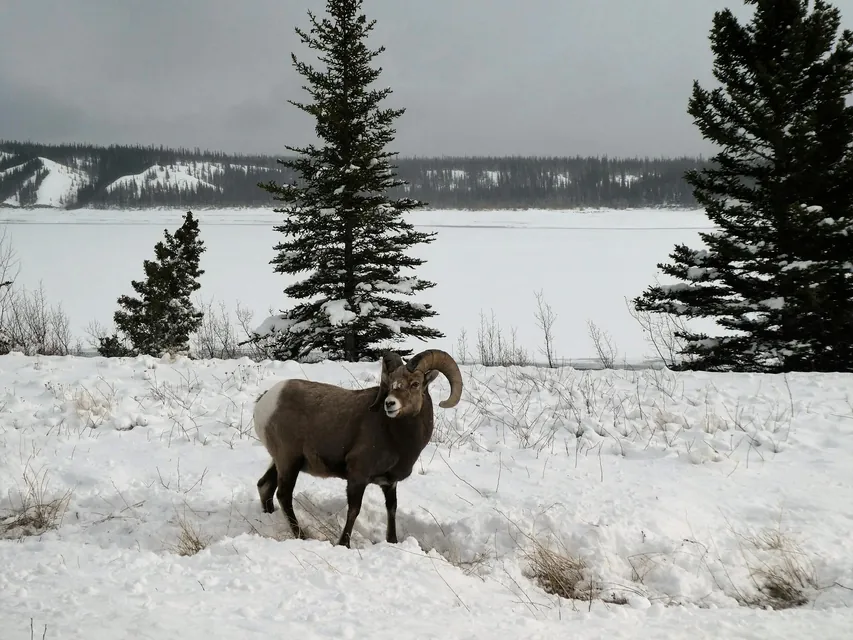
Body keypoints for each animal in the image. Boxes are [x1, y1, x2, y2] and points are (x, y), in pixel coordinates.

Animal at [253, 348, 463, 548]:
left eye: (415, 384)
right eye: (392, 383)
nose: (390, 404)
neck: (395, 436)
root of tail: (266, 401)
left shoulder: (390, 483)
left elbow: (392, 509)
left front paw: (392, 541)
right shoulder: (357, 476)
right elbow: (354, 510)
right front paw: (344, 544)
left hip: (281, 462)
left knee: (265, 486)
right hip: (289, 461)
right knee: (283, 495)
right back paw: (301, 536)